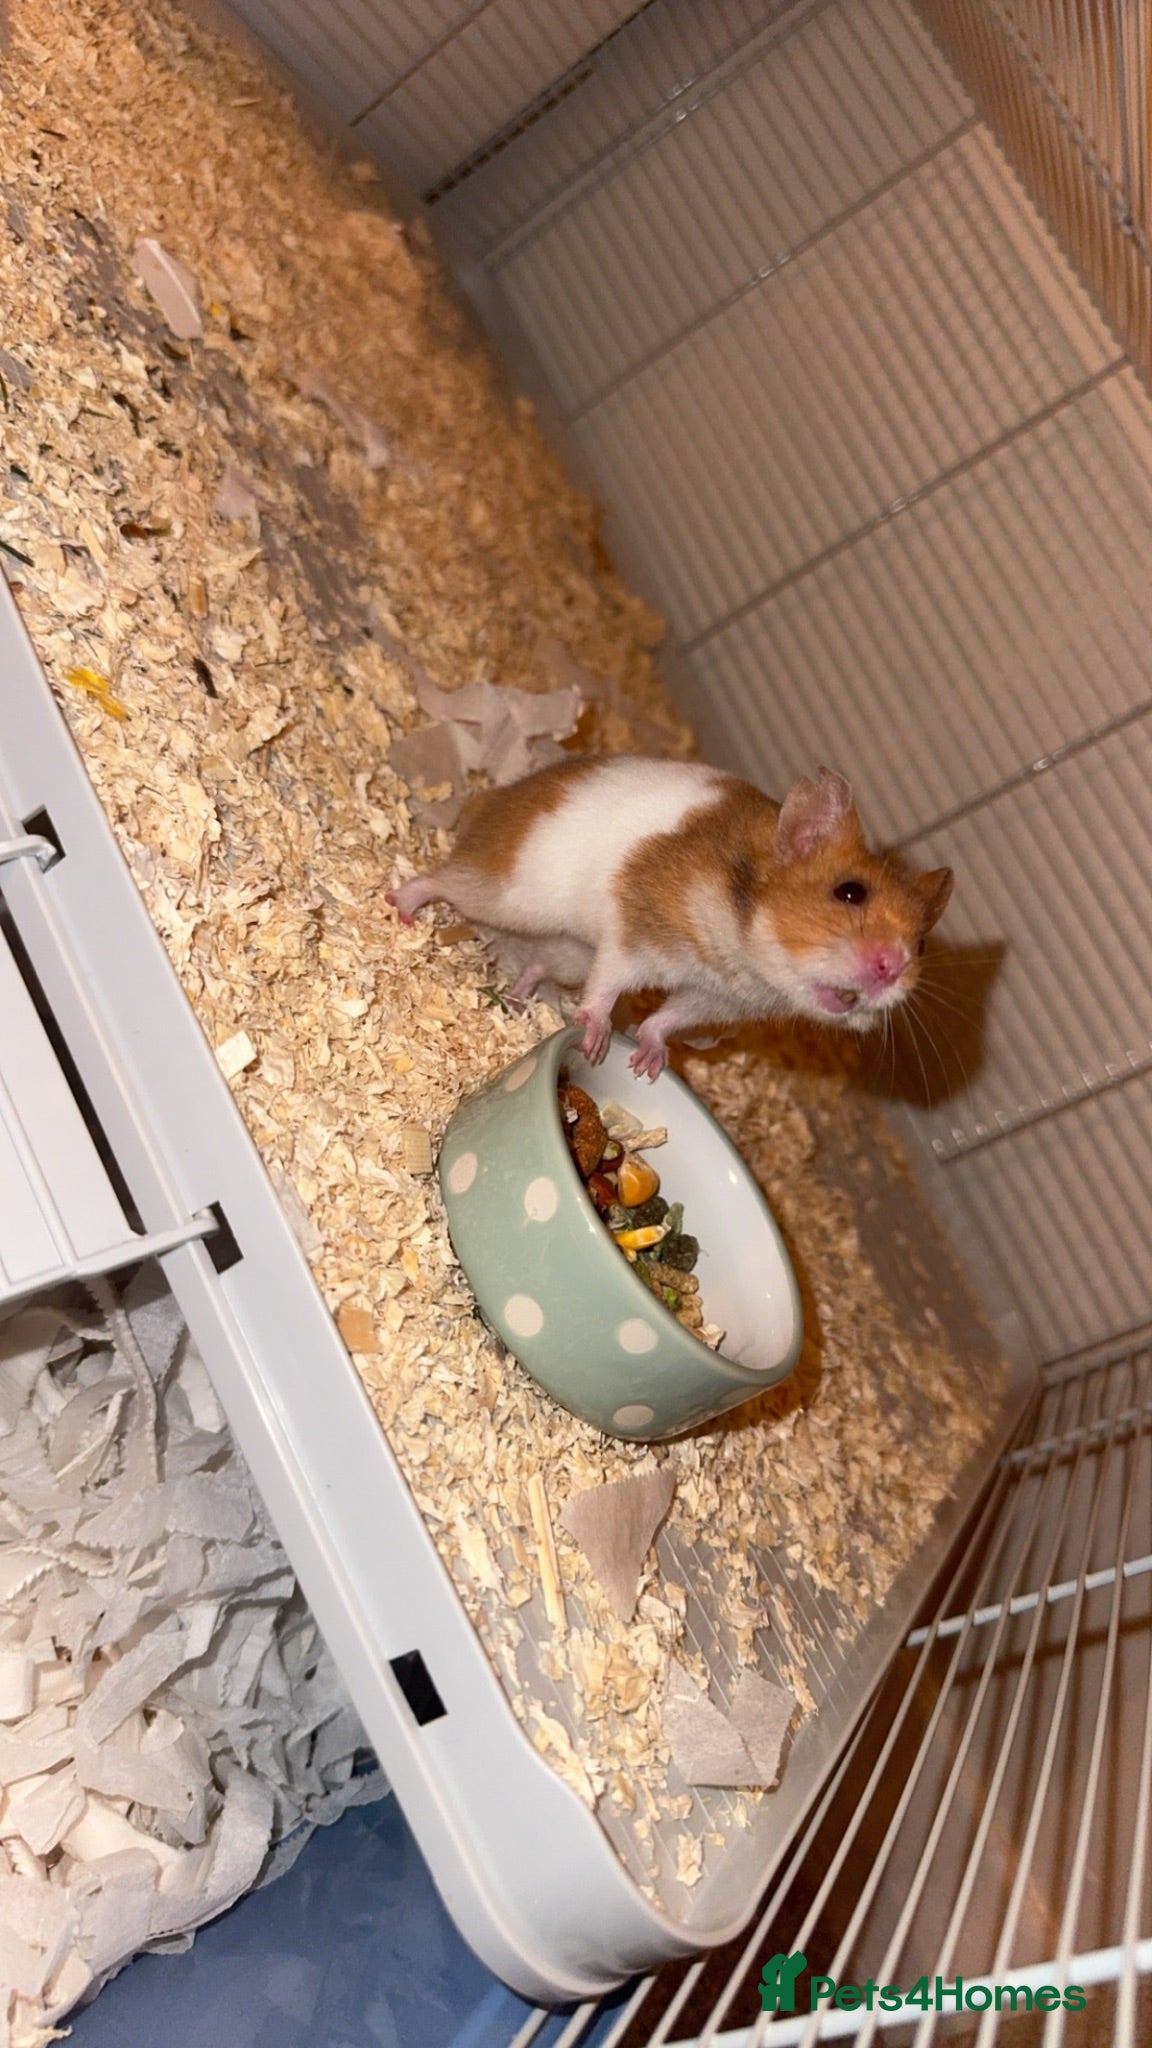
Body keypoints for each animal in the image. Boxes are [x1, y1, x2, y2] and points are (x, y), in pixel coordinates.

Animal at [387, 757, 953, 1079]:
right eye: (849, 892)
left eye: (923, 945)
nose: (893, 969)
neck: (746, 951)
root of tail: (491, 799)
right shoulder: (635, 936)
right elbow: (607, 988)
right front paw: (594, 1043)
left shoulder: (715, 999)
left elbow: (667, 1018)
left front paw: (646, 1064)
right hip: (506, 894)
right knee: (440, 878)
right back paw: (402, 911)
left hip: (569, 950)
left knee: (538, 966)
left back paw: (522, 1003)